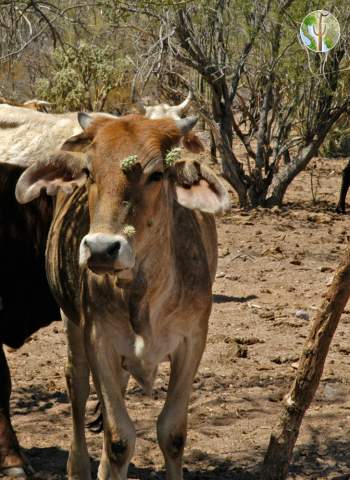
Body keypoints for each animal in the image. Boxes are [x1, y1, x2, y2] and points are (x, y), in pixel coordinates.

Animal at [15, 113, 230, 480]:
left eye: (157, 174)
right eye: (89, 171)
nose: (102, 248)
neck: (143, 295)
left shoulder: (192, 341)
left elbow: (172, 433)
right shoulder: (98, 339)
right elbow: (119, 438)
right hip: (71, 321)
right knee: (77, 384)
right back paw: (79, 466)